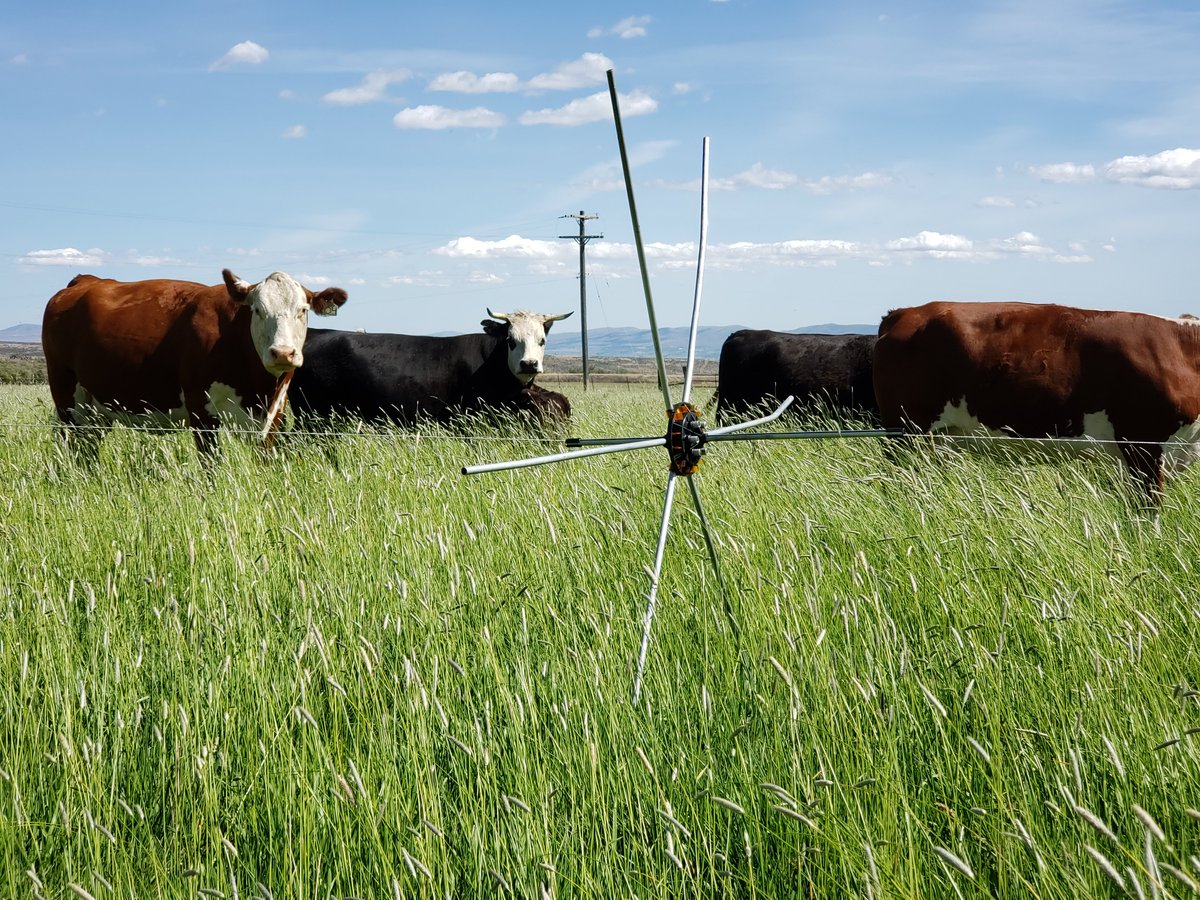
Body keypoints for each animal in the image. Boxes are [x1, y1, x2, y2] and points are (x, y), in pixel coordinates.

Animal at [42, 266, 348, 451]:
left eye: (303, 310)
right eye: (258, 310)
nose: (283, 352)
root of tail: (86, 280)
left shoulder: (274, 414)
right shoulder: (201, 411)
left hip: (97, 407)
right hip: (66, 397)